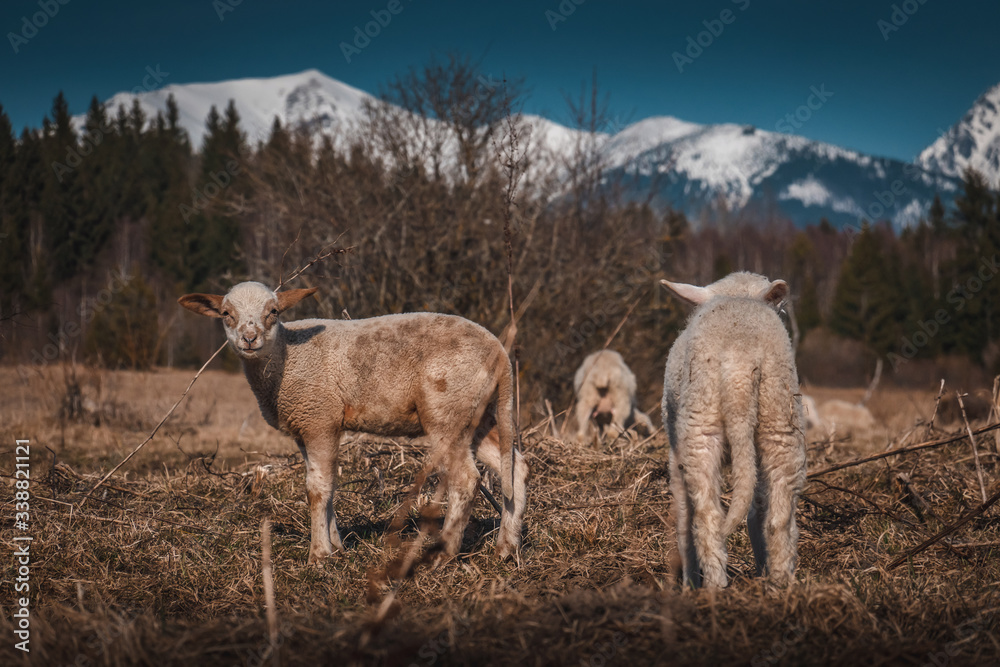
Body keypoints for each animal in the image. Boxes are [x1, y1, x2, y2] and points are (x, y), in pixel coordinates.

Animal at [178, 281, 528, 564]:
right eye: (226, 314)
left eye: (273, 312)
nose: (249, 339)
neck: (285, 358)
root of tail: (498, 351)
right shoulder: (309, 426)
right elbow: (329, 485)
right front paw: (336, 547)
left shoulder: (318, 418)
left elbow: (316, 489)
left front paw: (319, 555)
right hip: (478, 412)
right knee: (514, 467)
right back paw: (506, 548)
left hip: (448, 409)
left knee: (466, 479)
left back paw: (444, 554)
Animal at [660, 272, 806, 588]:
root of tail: (740, 361)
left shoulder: (676, 450)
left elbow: (683, 516)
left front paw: (689, 580)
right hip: (780, 415)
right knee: (778, 513)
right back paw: (780, 580)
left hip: (699, 423)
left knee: (707, 516)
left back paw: (714, 585)